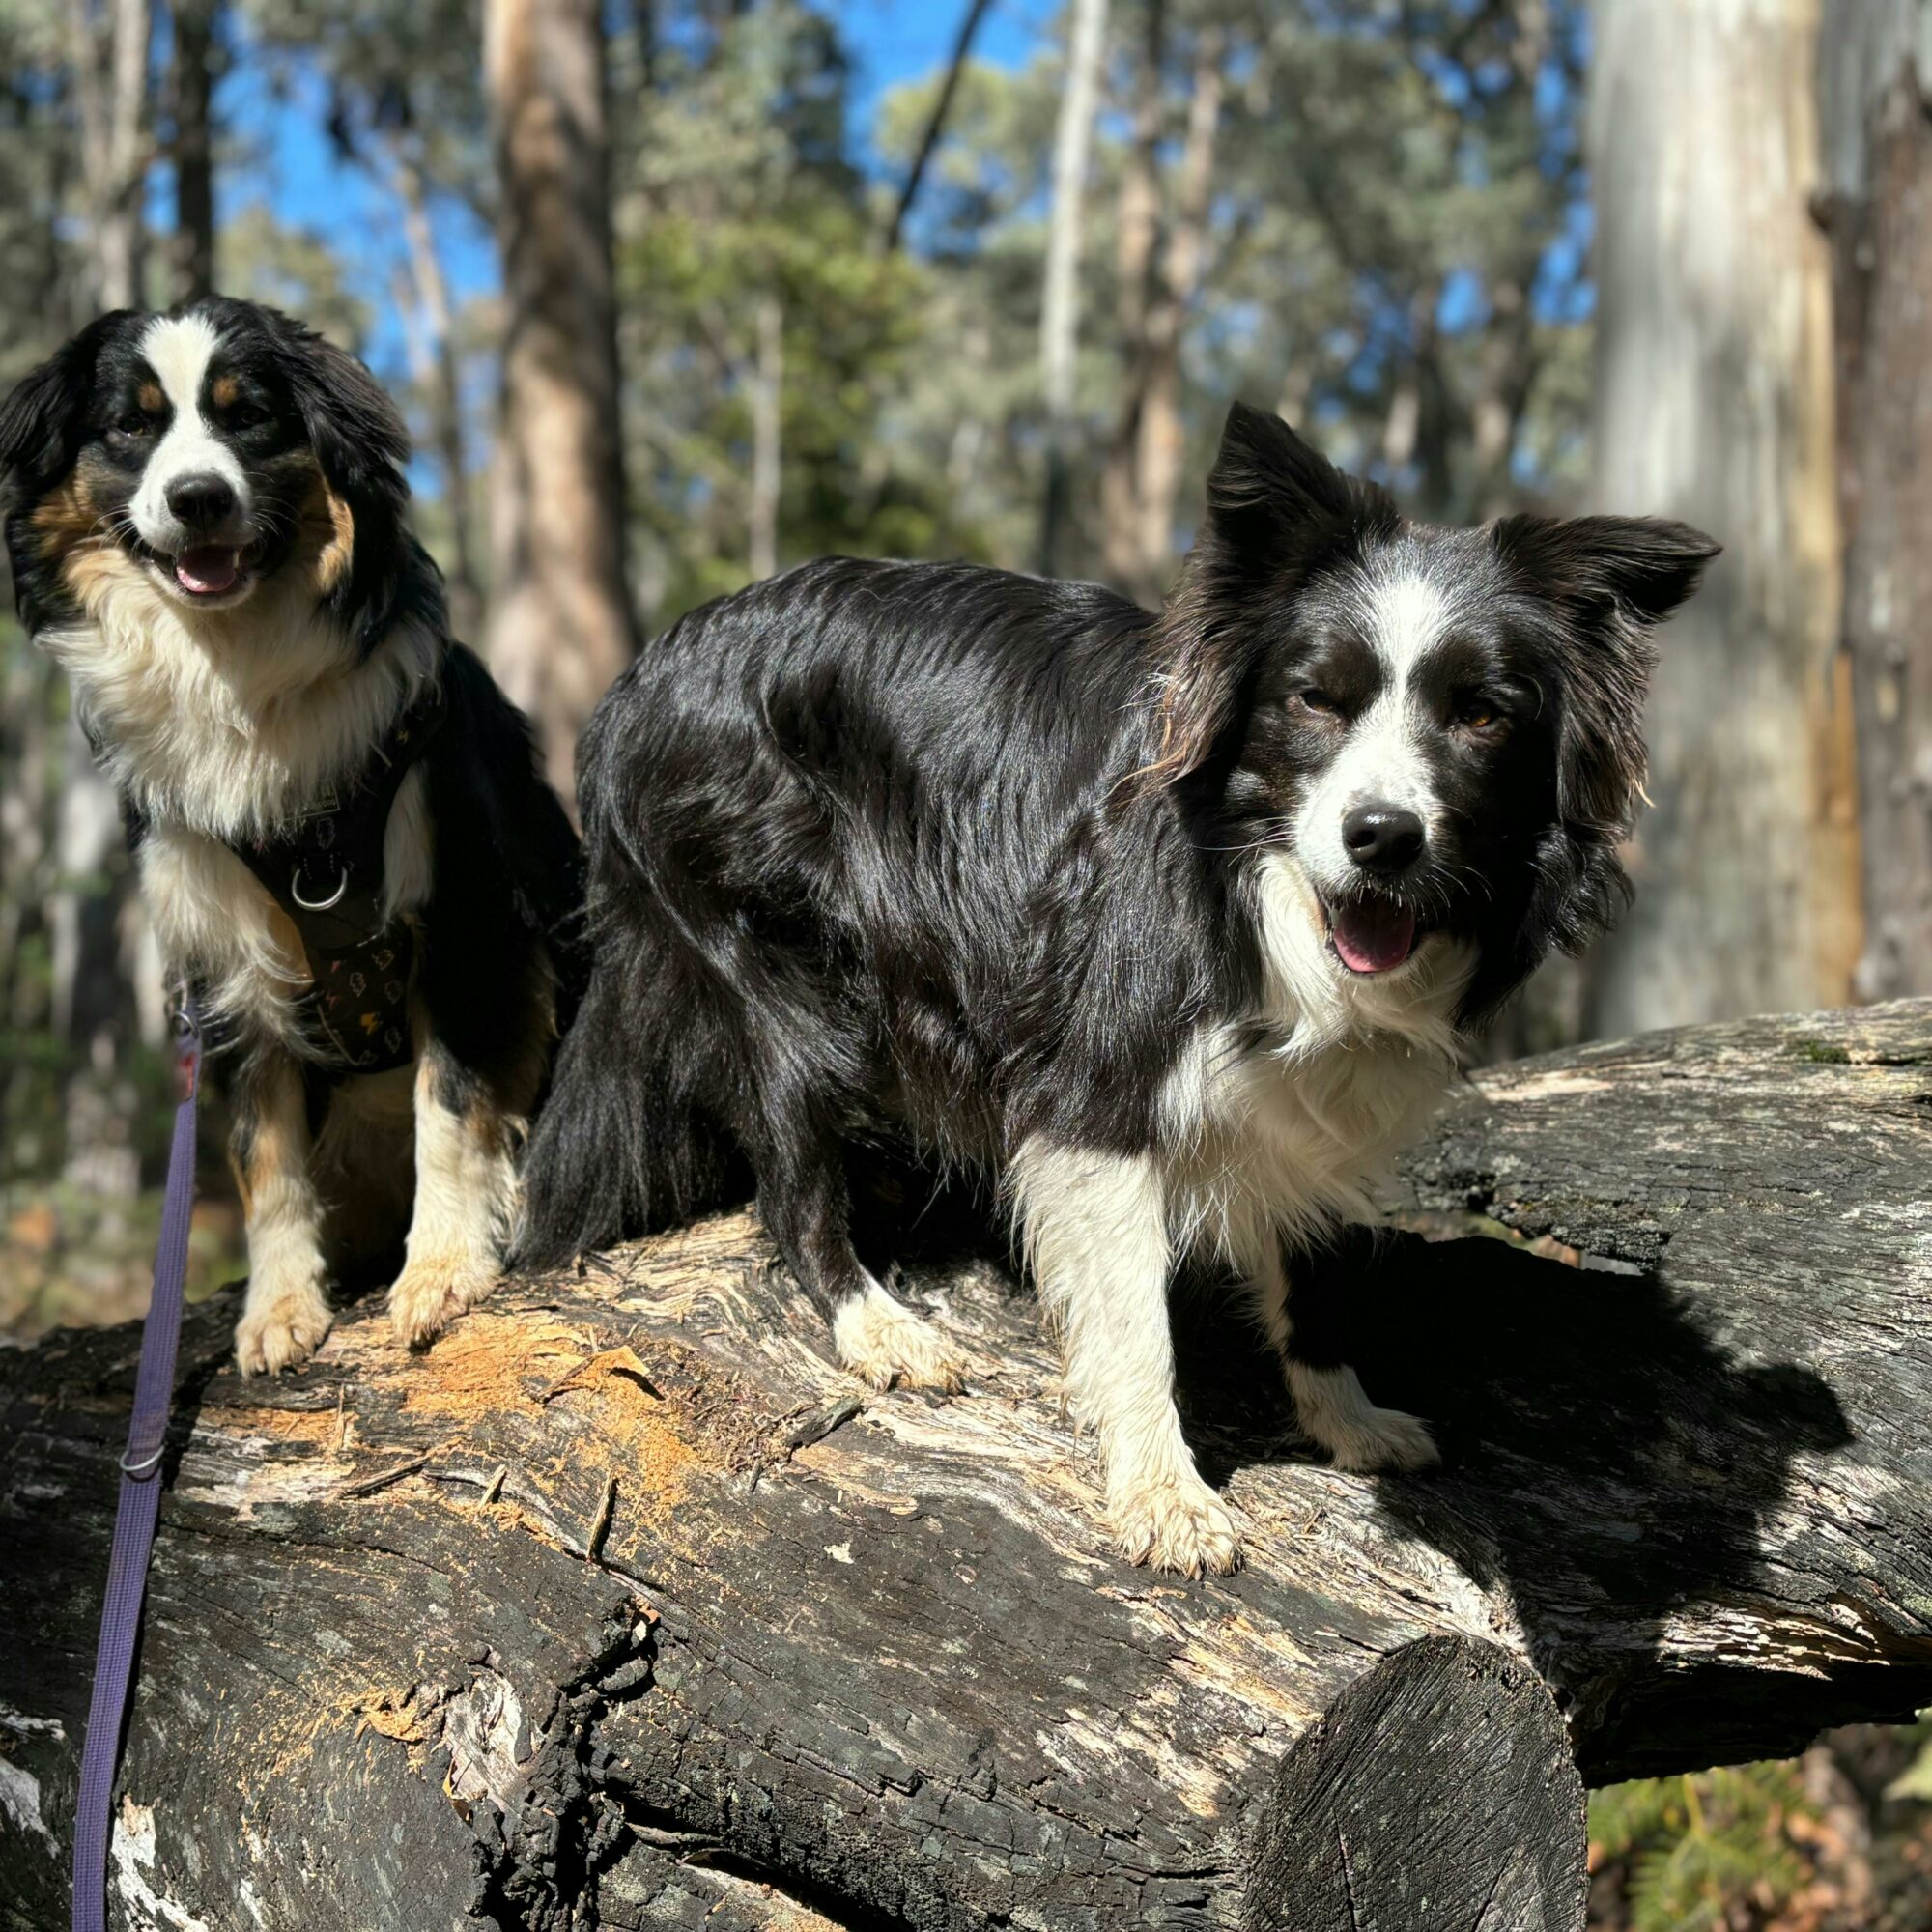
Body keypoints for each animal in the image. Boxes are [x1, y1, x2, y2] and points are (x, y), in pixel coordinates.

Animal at [0, 298, 580, 1376]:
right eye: (130, 425)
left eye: (250, 417)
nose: (196, 499)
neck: (237, 666)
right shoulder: (225, 963)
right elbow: (260, 1152)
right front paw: (275, 1307)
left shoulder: (463, 913)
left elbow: (450, 1101)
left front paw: (442, 1269)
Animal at [522, 400, 1716, 1577]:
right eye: (1315, 702)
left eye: (1482, 716)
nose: (1379, 838)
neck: (1258, 885)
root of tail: (640, 677)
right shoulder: (1103, 1046)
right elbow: (1134, 1307)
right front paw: (1165, 1497)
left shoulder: (1307, 1091)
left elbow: (1313, 1249)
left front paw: (1348, 1416)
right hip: (763, 944)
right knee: (788, 1148)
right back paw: (879, 1323)